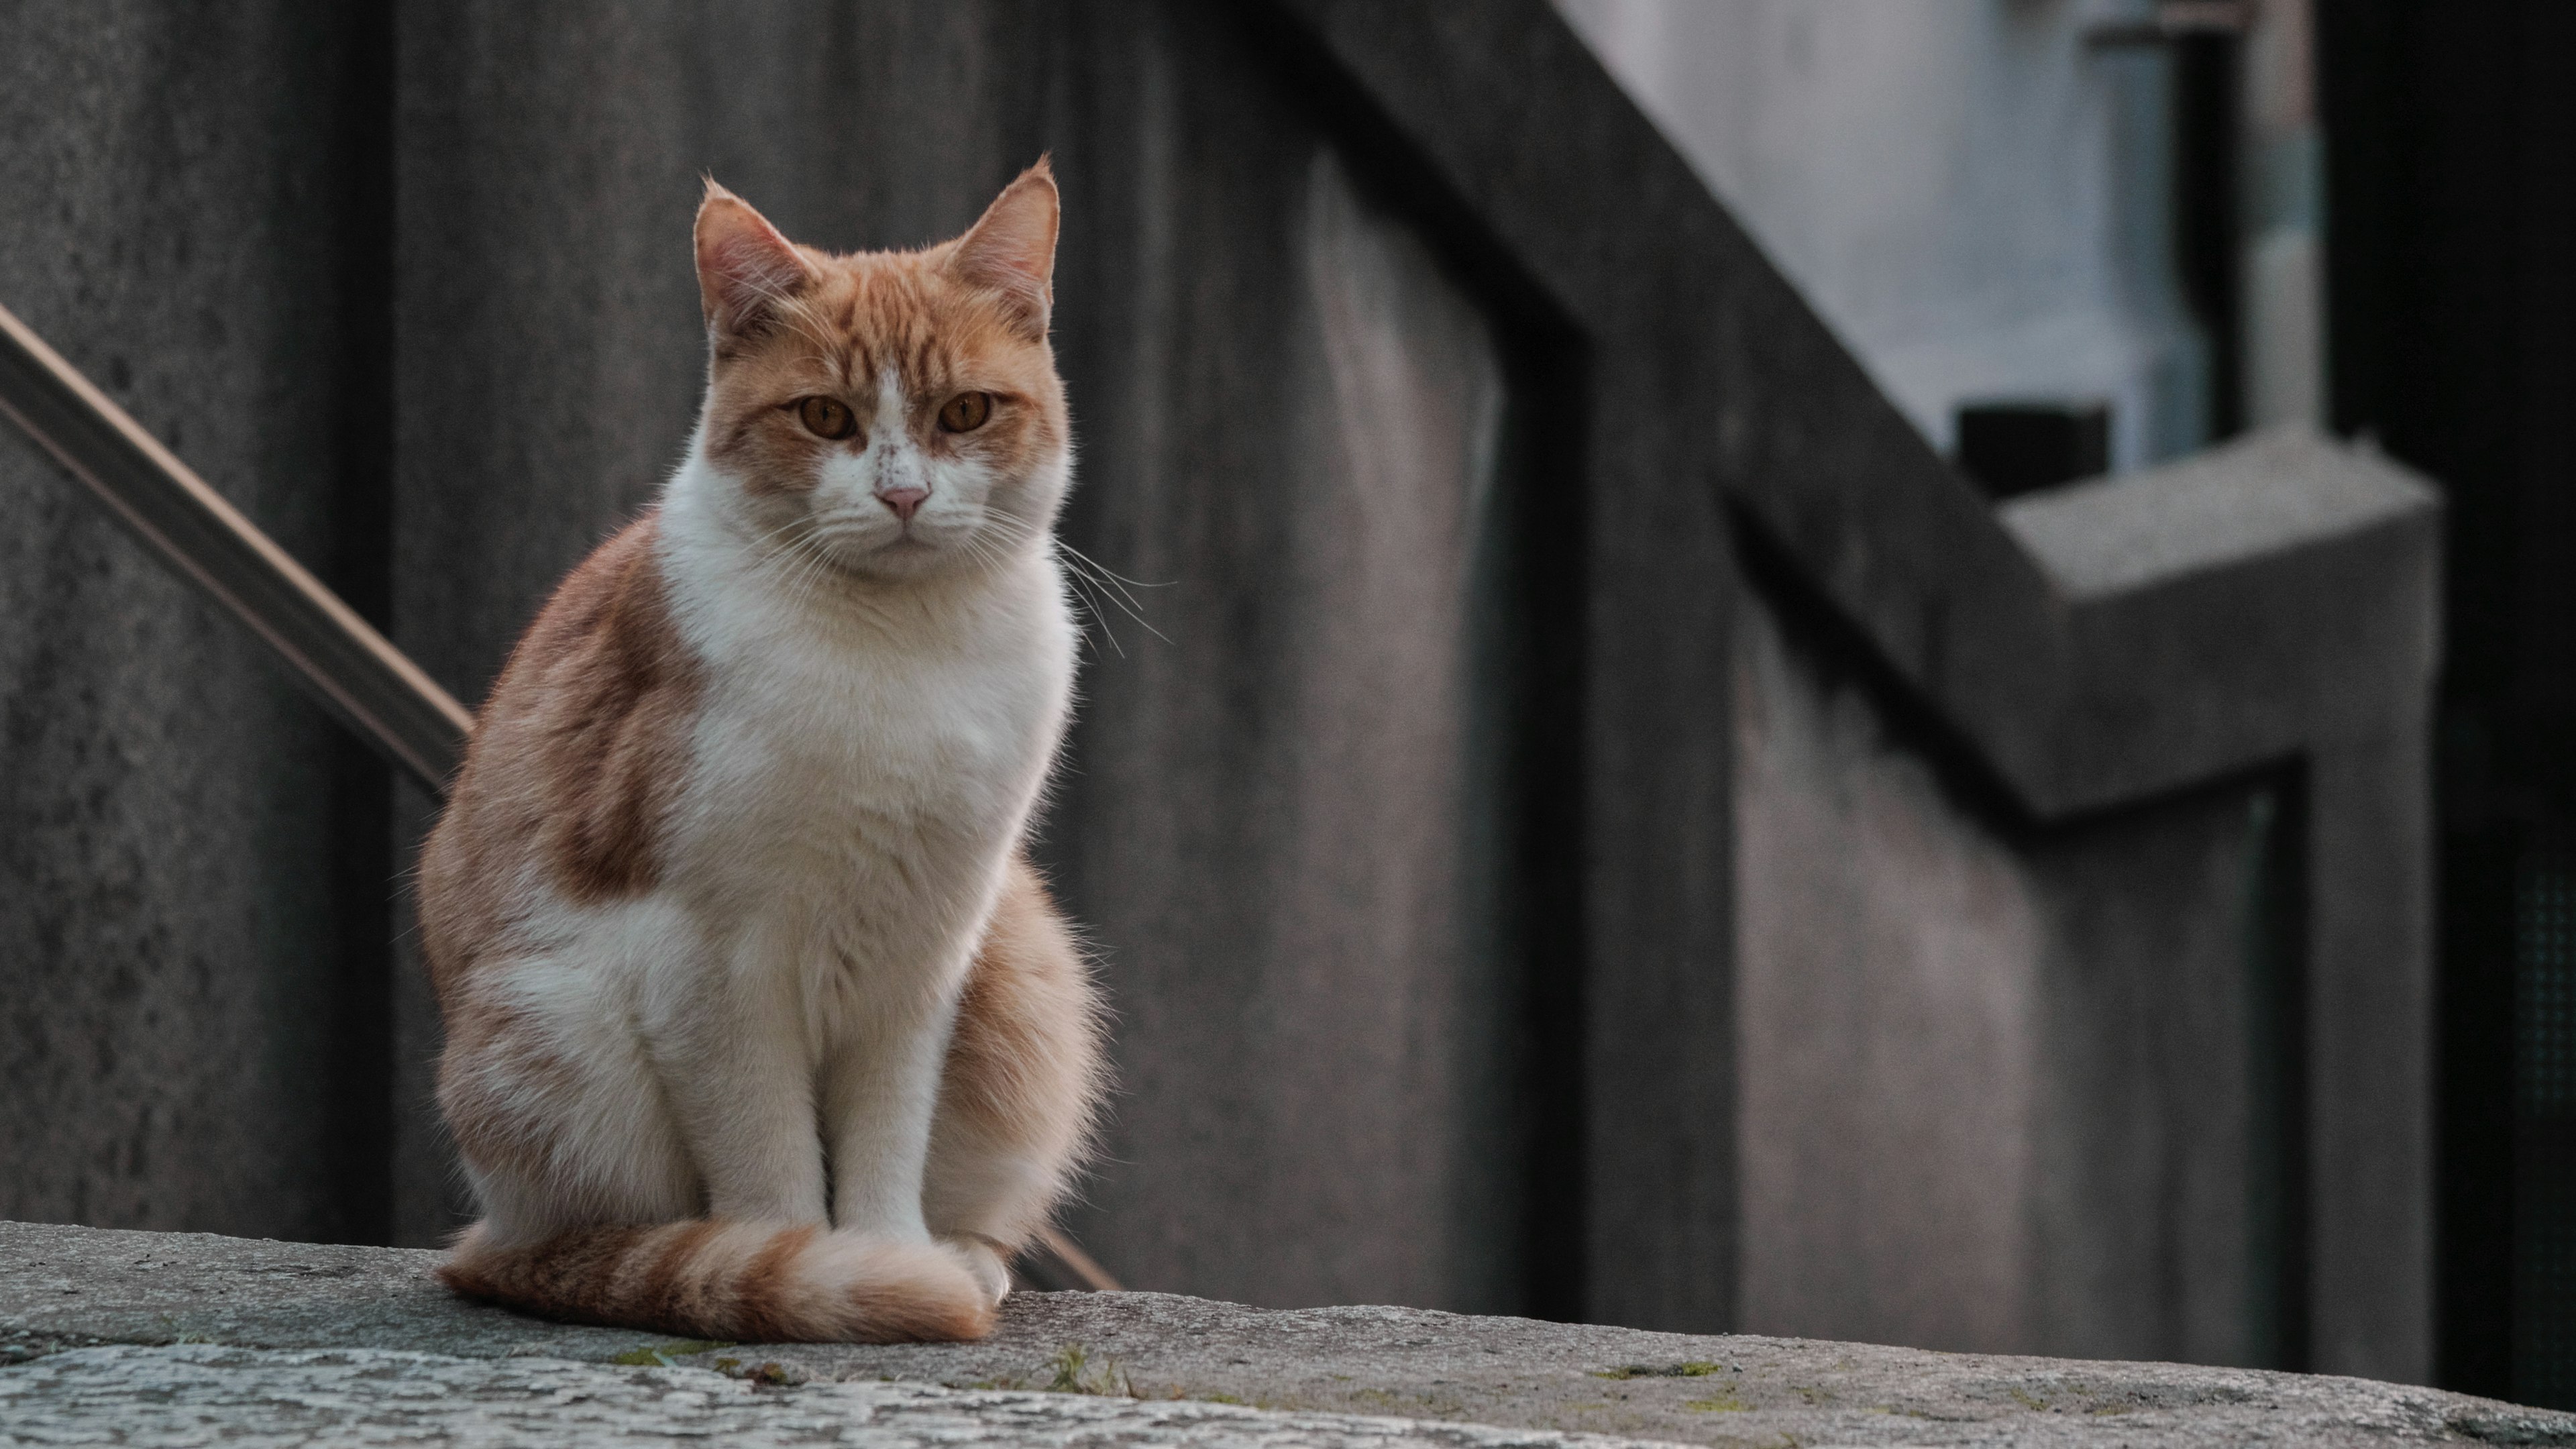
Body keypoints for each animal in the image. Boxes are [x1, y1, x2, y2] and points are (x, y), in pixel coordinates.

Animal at [417, 160, 1102, 1340]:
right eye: (824, 417)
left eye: (966, 412)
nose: (904, 494)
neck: (898, 650)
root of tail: (488, 1232)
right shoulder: (708, 959)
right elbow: (767, 1164)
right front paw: (806, 1274)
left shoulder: (927, 950)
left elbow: (886, 1139)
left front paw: (888, 1256)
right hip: (553, 1030)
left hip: (1021, 963)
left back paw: (963, 1261)